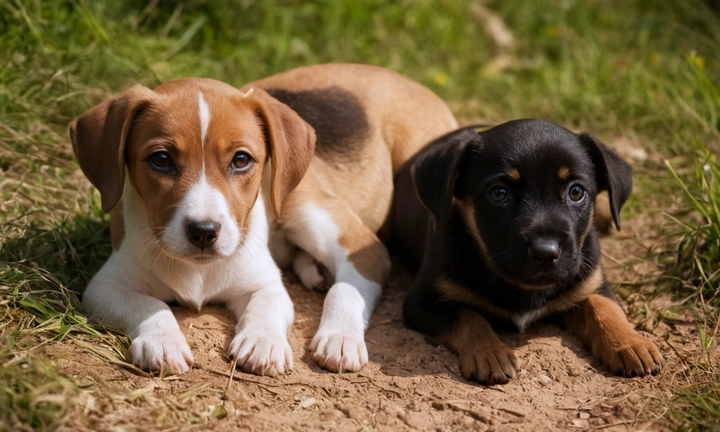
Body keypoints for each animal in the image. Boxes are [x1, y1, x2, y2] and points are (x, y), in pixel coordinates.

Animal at [71, 63, 456, 374]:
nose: (204, 232)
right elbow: (148, 304)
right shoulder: (105, 288)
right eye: (161, 160)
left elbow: (270, 303)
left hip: (318, 214)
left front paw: (264, 341)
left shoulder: (267, 280)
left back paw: (338, 332)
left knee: (346, 283)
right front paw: (161, 340)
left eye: (241, 160)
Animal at [394, 119, 664, 384]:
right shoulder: (422, 301)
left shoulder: (592, 283)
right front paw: (489, 352)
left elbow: (604, 306)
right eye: (499, 193)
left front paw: (630, 343)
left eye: (576, 192)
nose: (546, 252)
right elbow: (469, 317)